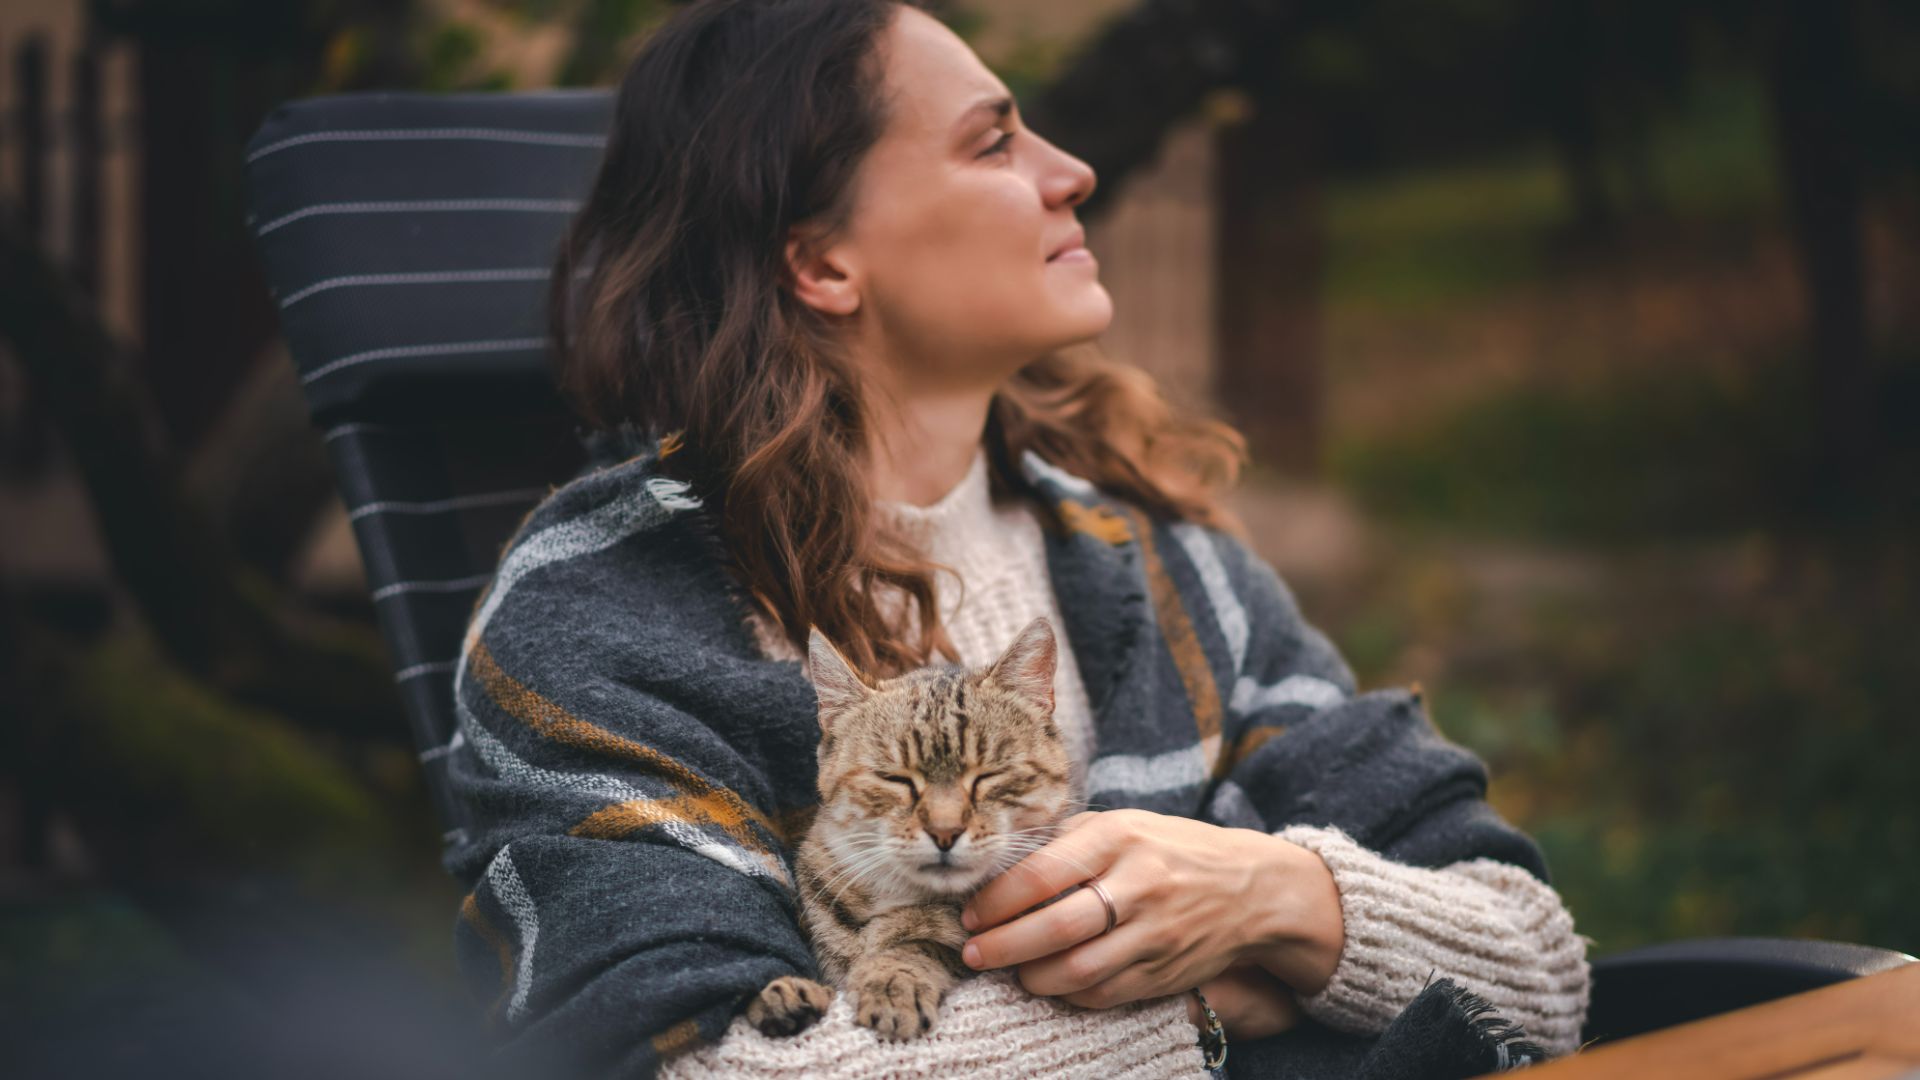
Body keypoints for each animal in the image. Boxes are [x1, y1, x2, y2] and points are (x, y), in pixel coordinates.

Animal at [744, 618, 1082, 1037]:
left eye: (988, 775)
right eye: (895, 779)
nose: (944, 831)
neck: (899, 897)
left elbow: (925, 947)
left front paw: (894, 977)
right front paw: (786, 994)